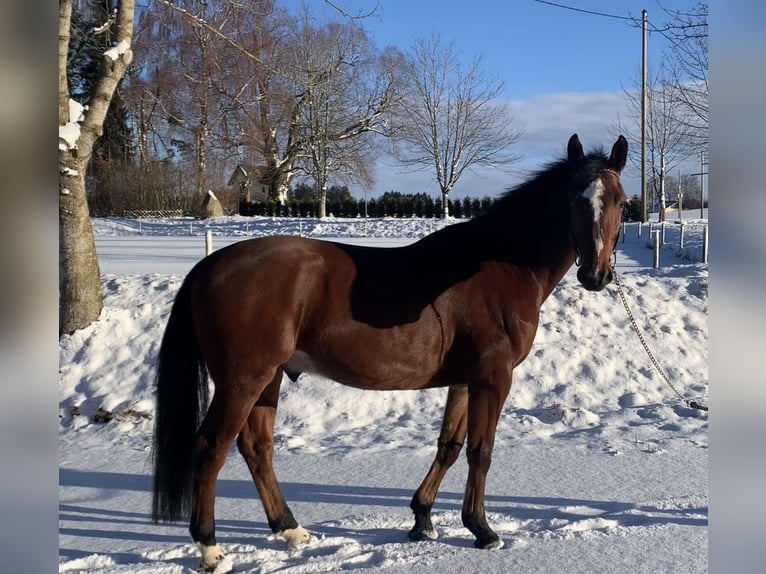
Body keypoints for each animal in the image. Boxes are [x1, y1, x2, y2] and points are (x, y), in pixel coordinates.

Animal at [151, 133, 628, 571]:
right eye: (574, 198)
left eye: (621, 202)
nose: (595, 275)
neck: (501, 266)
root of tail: (208, 265)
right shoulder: (494, 378)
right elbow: (481, 450)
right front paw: (482, 529)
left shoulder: (464, 380)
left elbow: (449, 445)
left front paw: (422, 519)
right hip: (242, 380)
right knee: (211, 446)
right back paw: (210, 548)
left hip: (267, 378)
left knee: (256, 447)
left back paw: (290, 529)